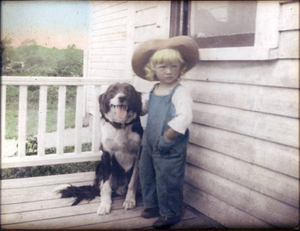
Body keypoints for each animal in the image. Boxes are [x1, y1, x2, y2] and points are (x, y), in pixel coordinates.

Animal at [59, 82, 144, 215]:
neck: (121, 125)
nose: (122, 97)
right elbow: (106, 186)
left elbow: (133, 181)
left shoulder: (138, 155)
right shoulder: (106, 155)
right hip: (100, 167)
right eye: (113, 90)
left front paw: (130, 200)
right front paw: (105, 205)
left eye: (129, 90)